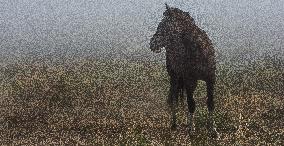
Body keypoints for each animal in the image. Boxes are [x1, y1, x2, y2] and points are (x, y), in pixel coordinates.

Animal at [150, 3, 219, 137]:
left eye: (163, 25)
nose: (152, 44)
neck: (198, 50)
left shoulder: (210, 79)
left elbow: (210, 103)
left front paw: (213, 130)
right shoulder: (189, 80)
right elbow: (191, 104)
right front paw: (192, 130)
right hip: (175, 77)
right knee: (175, 99)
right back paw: (174, 124)